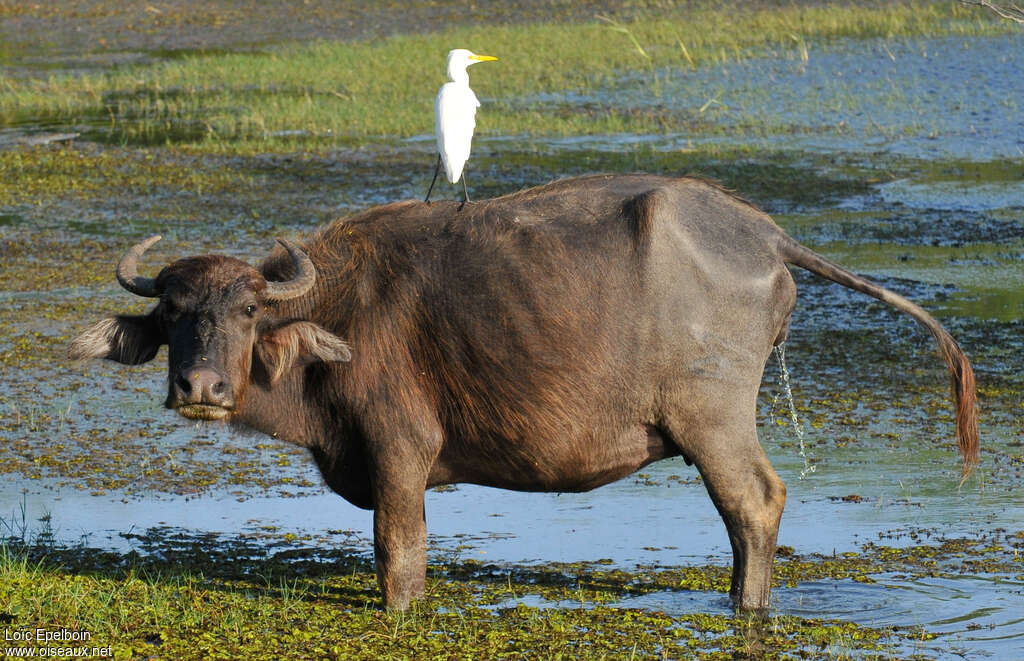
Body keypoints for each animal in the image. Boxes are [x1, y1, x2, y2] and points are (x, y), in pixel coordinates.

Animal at [68, 174, 978, 609]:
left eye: (249, 310)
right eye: (173, 311)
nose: (200, 385)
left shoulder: (400, 450)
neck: (336, 318)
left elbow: (399, 555)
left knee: (755, 503)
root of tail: (765, 234)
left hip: (713, 418)